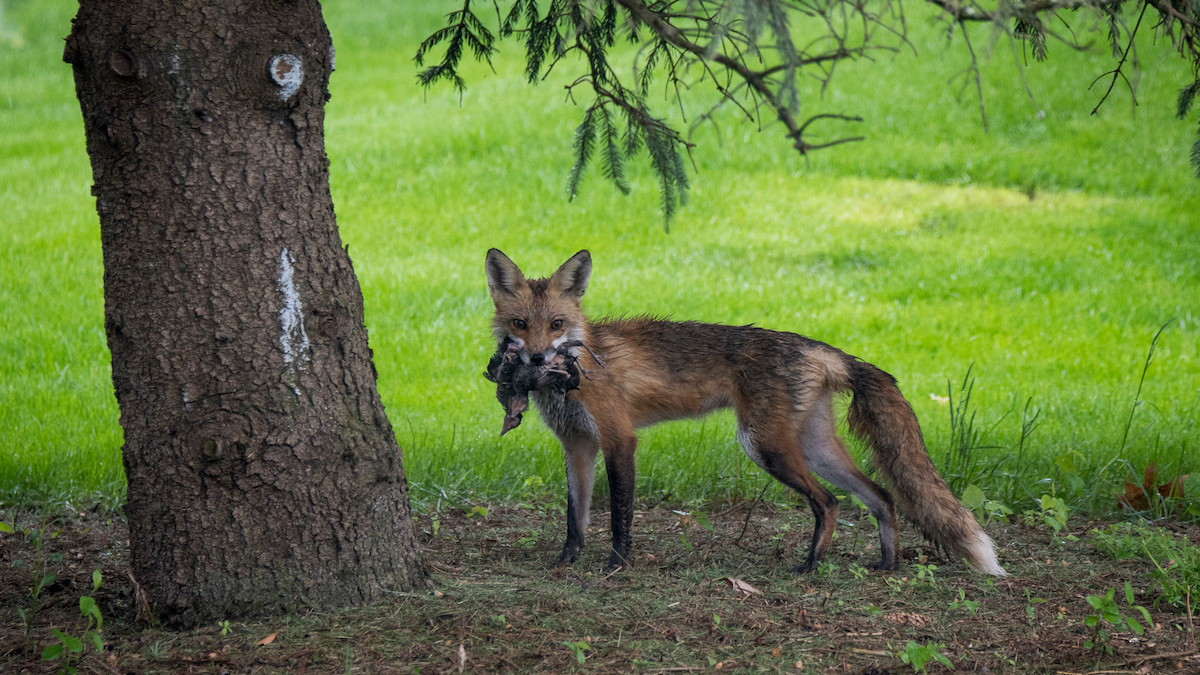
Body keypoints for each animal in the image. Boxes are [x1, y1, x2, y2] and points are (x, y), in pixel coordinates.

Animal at [484, 248, 1006, 576]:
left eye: (556, 324)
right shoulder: (577, 446)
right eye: (519, 324)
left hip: (765, 445)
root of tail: (818, 348)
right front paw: (565, 563)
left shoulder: (619, 440)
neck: (577, 367)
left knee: (830, 502)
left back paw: (810, 566)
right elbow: (574, 518)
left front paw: (617, 566)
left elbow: (619, 514)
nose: (536, 359)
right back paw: (886, 564)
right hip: (815, 447)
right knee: (880, 496)